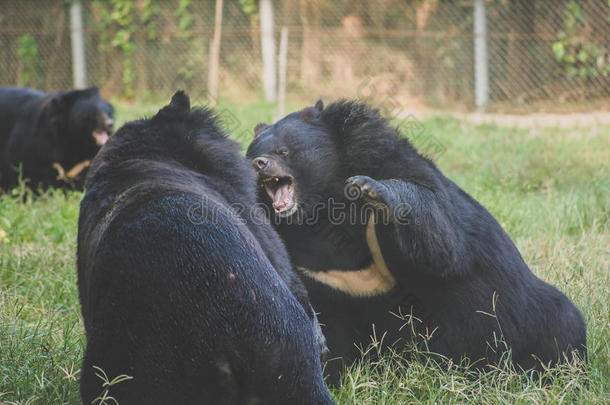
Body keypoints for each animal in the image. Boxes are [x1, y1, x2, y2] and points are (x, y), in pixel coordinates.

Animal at [246, 99, 584, 384]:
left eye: (283, 152)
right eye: (253, 154)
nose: (259, 164)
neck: (318, 210)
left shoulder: (384, 159)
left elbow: (439, 232)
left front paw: (370, 189)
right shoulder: (315, 271)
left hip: (522, 309)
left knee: (561, 329)